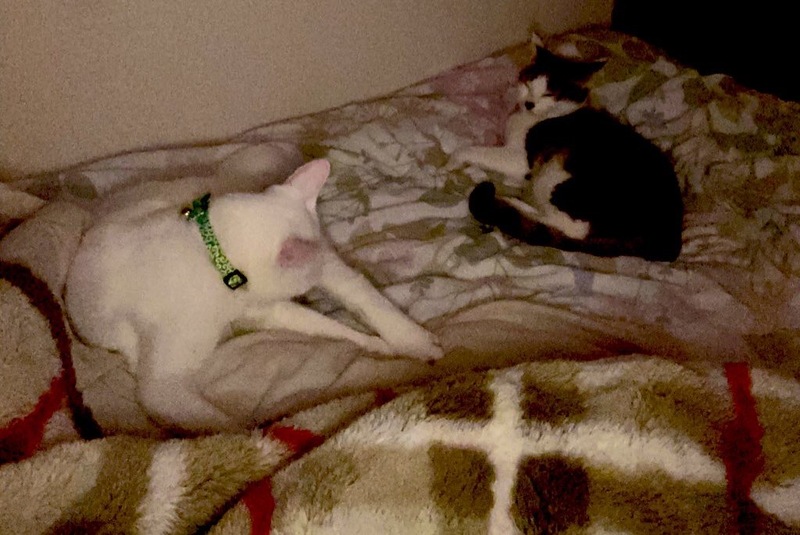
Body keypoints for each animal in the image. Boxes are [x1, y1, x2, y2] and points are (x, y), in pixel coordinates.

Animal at [65, 157, 443, 432]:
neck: (214, 251)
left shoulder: (312, 276)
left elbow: (357, 305)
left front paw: (403, 343)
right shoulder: (162, 384)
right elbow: (221, 426)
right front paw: (257, 436)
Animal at [452, 39, 684, 262]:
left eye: (548, 94)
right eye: (529, 84)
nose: (529, 103)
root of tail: (668, 242)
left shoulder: (521, 159)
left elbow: (476, 151)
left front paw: (455, 158)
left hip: (555, 178)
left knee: (568, 229)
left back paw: (511, 203)